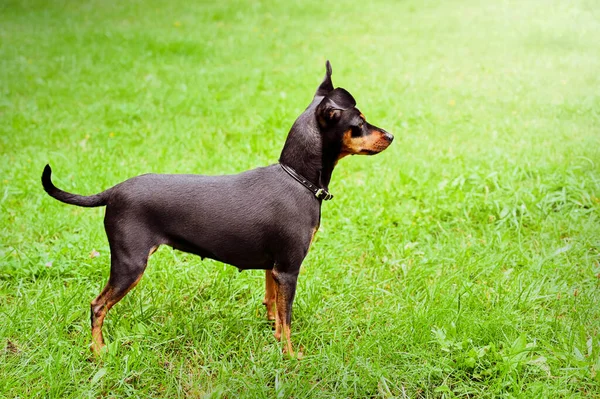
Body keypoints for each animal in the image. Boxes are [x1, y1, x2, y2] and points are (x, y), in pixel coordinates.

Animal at [39, 61, 392, 358]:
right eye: (359, 122)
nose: (390, 135)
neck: (297, 178)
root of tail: (113, 191)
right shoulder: (289, 269)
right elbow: (288, 317)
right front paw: (291, 356)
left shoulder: (274, 268)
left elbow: (274, 307)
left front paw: (274, 336)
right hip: (131, 264)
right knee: (97, 305)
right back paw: (99, 351)